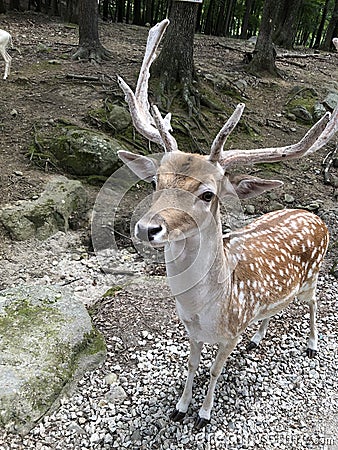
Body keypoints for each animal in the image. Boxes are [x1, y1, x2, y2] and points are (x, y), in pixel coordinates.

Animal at [115, 20, 336, 428]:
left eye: (207, 194)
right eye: (155, 182)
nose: (147, 228)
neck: (208, 311)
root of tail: (315, 216)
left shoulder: (230, 332)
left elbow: (216, 370)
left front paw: (203, 414)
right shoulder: (191, 330)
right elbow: (190, 366)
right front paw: (180, 407)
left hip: (314, 276)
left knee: (314, 303)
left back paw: (313, 345)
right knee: (276, 307)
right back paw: (258, 337)